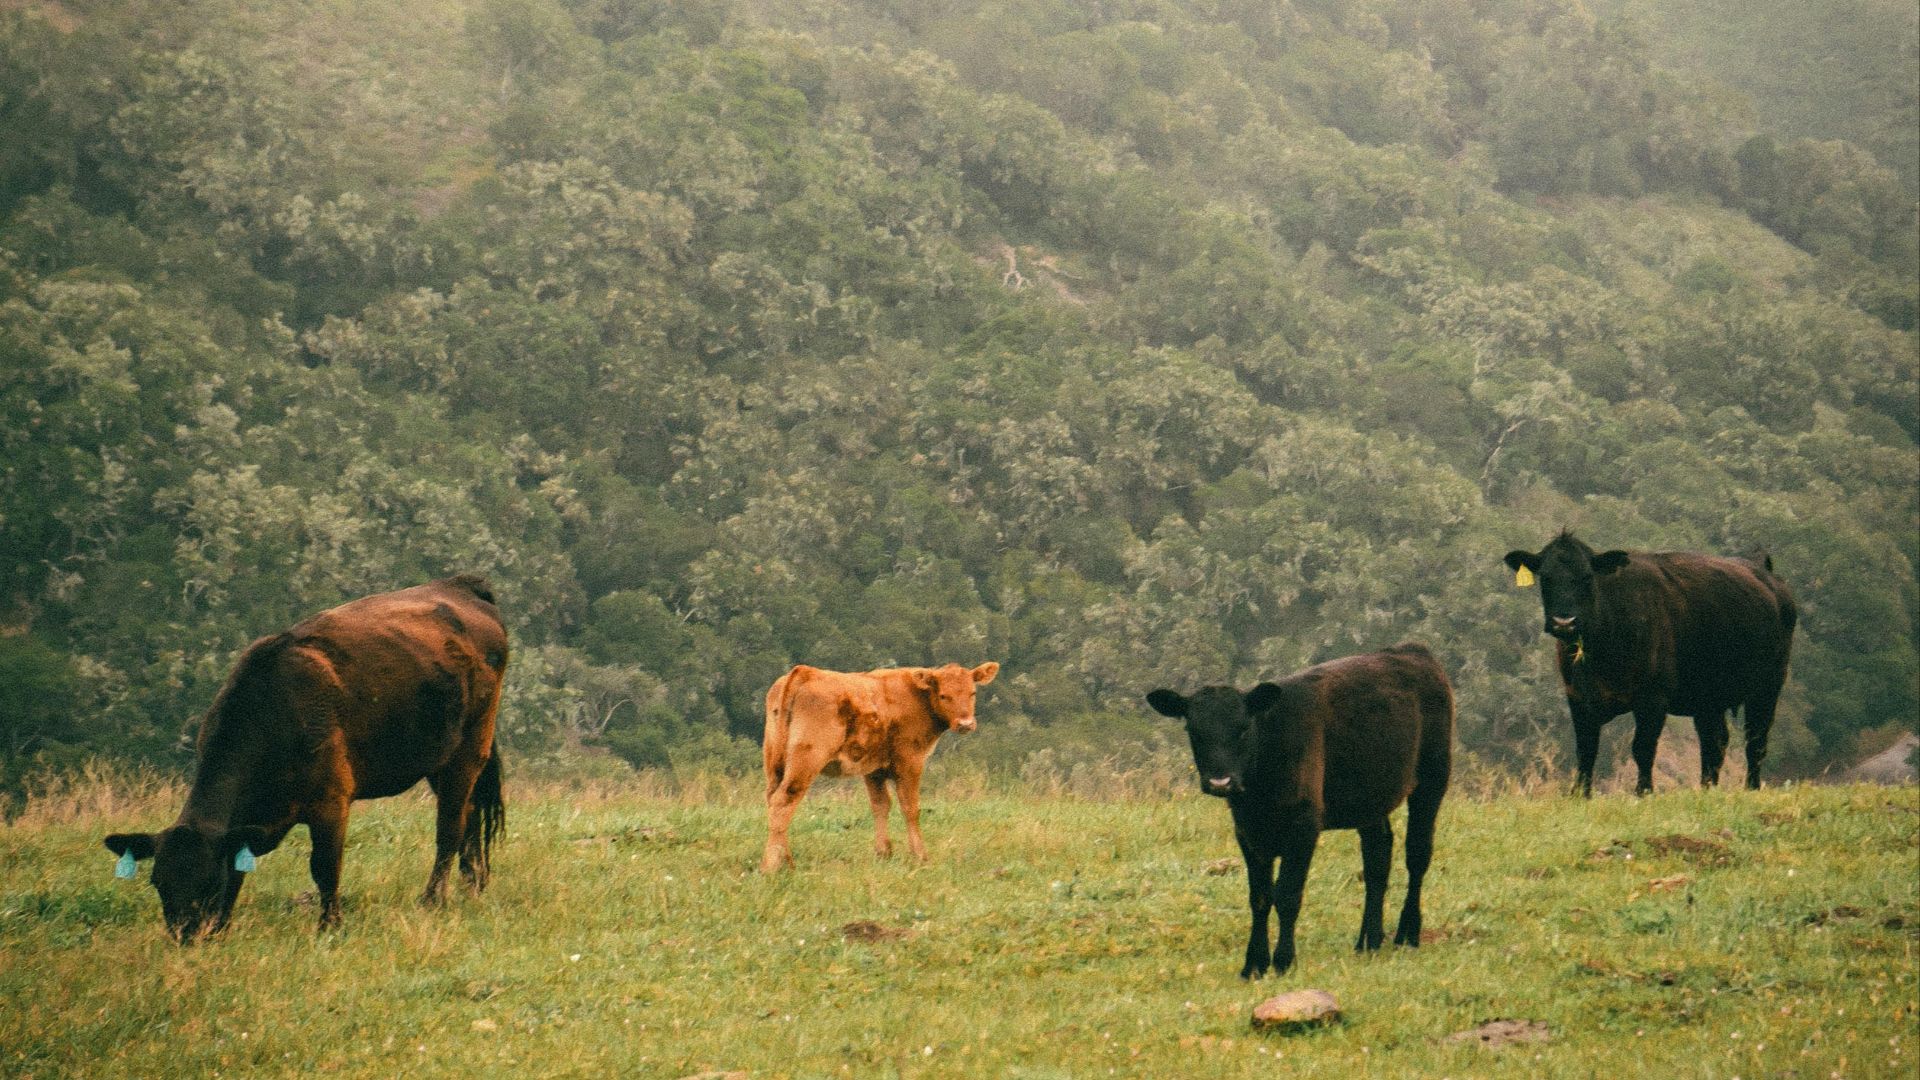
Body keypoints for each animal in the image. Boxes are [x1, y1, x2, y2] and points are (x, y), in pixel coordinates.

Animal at [104, 575, 508, 941]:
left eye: (207, 881)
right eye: (158, 882)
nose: (184, 936)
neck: (272, 713)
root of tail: (460, 585)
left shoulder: (331, 800)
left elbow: (324, 867)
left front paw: (330, 927)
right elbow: (240, 869)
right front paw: (222, 928)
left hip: (470, 746)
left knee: (450, 827)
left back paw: (433, 899)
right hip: (440, 756)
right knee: (470, 813)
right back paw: (472, 884)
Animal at [760, 661, 998, 873]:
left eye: (972, 693)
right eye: (943, 695)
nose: (965, 724)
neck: (917, 697)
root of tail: (805, 671)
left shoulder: (873, 767)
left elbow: (881, 805)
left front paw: (883, 853)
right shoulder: (910, 761)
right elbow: (910, 807)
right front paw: (920, 856)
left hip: (774, 764)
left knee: (773, 801)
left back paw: (786, 862)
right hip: (807, 758)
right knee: (784, 801)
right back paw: (771, 867)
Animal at [1146, 643, 1453, 980]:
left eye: (1243, 729)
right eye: (1194, 731)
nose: (1220, 781)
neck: (1258, 795)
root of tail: (1413, 651)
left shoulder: (1304, 825)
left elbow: (1287, 895)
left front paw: (1283, 961)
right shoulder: (1247, 831)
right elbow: (1260, 897)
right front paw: (1254, 964)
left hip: (1433, 776)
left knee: (1417, 855)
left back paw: (1407, 934)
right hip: (1369, 798)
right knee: (1377, 858)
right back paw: (1368, 940)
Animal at [1503, 531, 1796, 796]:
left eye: (1587, 577)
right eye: (1546, 578)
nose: (1564, 622)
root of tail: (1764, 571)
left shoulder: (1652, 698)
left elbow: (1642, 747)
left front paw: (1644, 792)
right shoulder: (1578, 698)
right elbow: (1586, 749)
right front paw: (1580, 794)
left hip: (1768, 686)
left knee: (1755, 740)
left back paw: (1751, 787)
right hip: (1708, 698)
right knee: (1715, 742)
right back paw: (1706, 789)